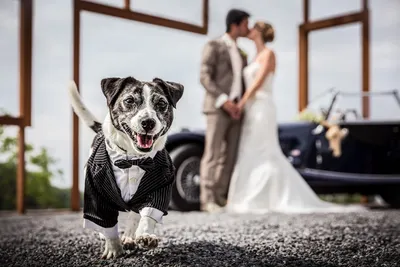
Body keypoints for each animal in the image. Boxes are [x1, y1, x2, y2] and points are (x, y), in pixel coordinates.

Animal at [67, 77, 184, 260]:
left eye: (161, 103)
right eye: (129, 101)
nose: (148, 122)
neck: (134, 158)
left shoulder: (159, 187)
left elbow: (148, 213)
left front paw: (145, 235)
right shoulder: (95, 193)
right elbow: (106, 222)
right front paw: (114, 248)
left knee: (134, 215)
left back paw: (129, 237)